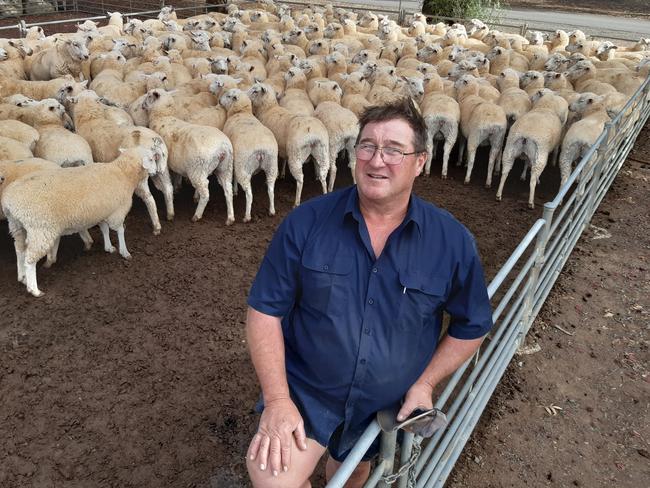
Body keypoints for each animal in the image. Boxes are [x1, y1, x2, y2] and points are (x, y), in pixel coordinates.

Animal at [1, 145, 159, 296]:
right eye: (151, 159)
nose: (156, 172)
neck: (123, 172)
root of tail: (9, 201)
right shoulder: (117, 212)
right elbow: (120, 230)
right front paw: (124, 252)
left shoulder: (101, 211)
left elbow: (104, 229)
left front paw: (109, 247)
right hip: (41, 229)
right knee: (30, 259)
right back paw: (34, 289)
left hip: (16, 226)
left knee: (19, 250)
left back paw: (22, 277)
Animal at [219, 88, 278, 222]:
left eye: (228, 96)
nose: (219, 101)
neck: (241, 112)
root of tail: (260, 150)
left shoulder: (235, 160)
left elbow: (234, 176)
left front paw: (235, 190)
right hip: (271, 165)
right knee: (271, 189)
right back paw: (272, 211)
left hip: (244, 167)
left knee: (249, 194)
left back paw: (247, 216)